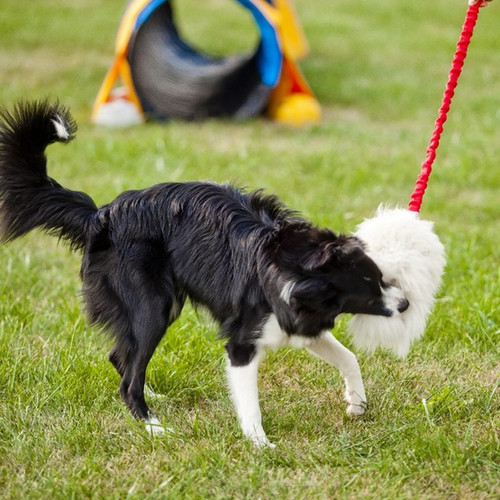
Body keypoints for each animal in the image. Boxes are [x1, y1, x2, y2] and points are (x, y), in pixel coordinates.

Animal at [0, 100, 406, 446]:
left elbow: (348, 357)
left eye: (381, 277)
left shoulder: (297, 323)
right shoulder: (242, 341)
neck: (296, 265)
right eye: (368, 287)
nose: (404, 304)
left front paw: (356, 402)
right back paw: (153, 425)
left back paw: (150, 397)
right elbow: (249, 402)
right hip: (153, 306)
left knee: (122, 359)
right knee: (128, 375)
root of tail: (99, 215)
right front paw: (260, 445)